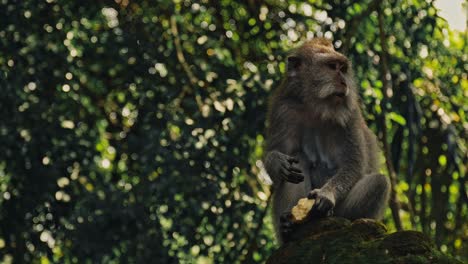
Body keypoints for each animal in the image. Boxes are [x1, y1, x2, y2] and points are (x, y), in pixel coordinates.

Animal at [264, 38, 392, 244]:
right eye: (332, 67)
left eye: (343, 68)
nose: (343, 82)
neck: (315, 105)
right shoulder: (283, 110)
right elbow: (280, 158)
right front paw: (276, 161)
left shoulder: (350, 115)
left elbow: (353, 164)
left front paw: (327, 194)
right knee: (296, 162)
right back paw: (288, 228)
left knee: (380, 182)